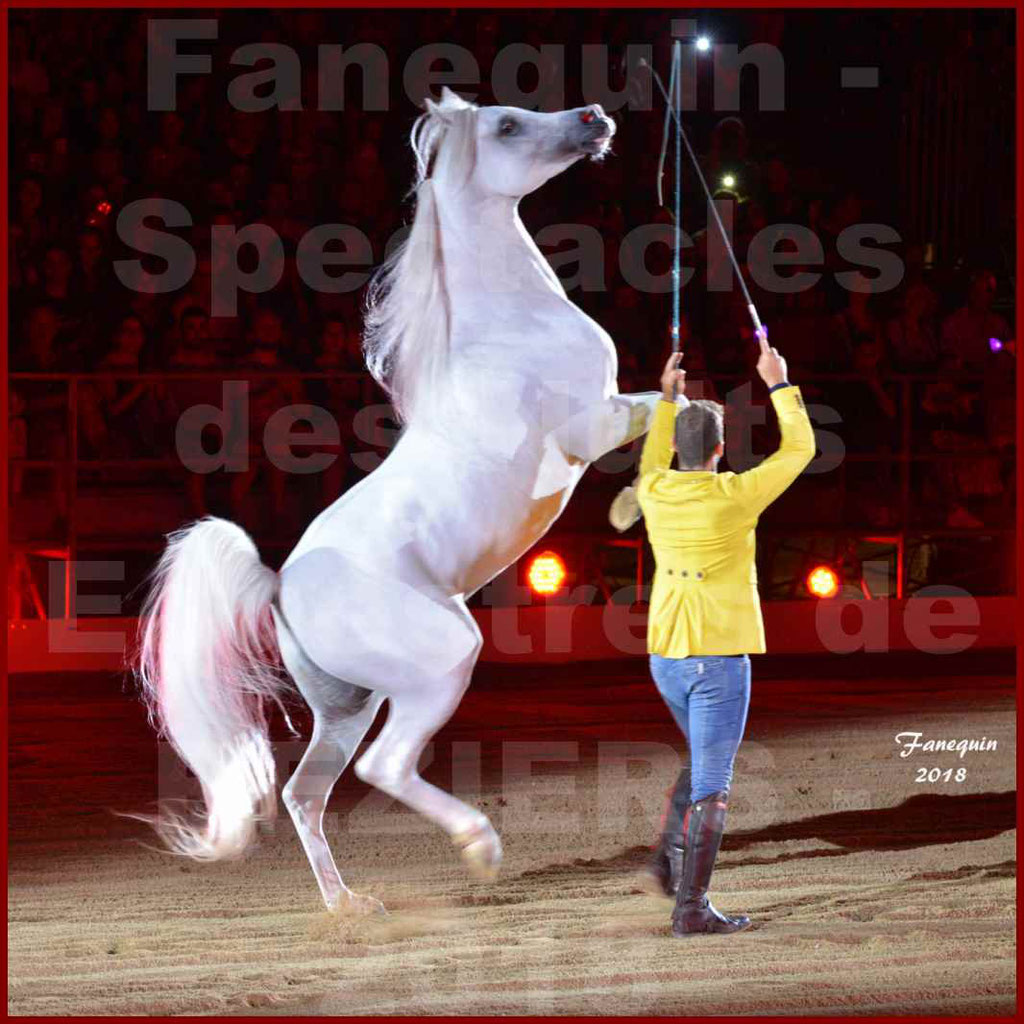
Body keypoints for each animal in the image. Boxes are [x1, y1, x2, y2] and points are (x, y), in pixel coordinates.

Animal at [136, 88, 659, 917]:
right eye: (507, 125)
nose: (594, 116)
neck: (510, 329)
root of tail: (278, 585)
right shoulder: (594, 427)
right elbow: (679, 404)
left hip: (346, 705)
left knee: (305, 793)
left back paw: (350, 907)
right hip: (442, 661)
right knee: (381, 768)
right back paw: (478, 849)